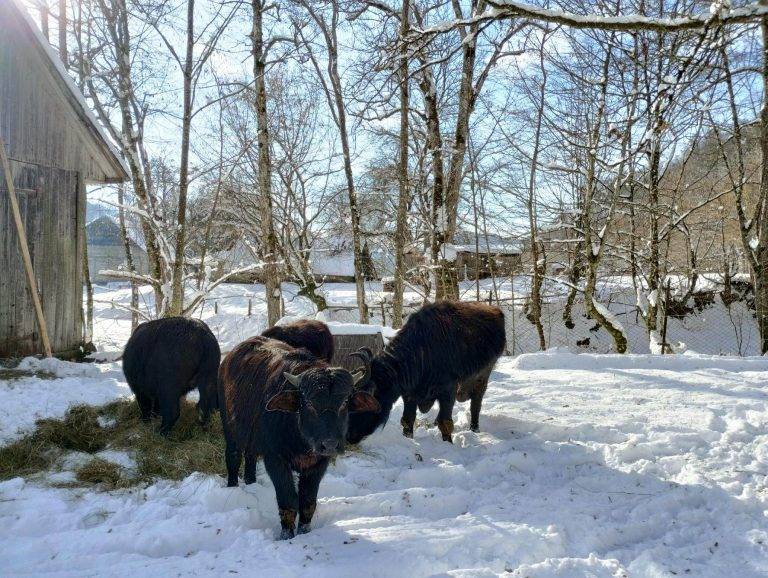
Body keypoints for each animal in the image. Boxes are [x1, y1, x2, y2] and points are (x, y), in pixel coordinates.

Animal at [218, 336, 380, 536]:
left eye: (344, 402)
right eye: (309, 403)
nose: (330, 445)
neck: (301, 440)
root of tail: (227, 360)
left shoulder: (318, 463)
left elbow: (308, 502)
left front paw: (304, 531)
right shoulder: (275, 459)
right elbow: (288, 501)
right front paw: (286, 535)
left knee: (250, 458)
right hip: (229, 429)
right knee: (233, 458)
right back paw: (232, 487)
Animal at [346, 302, 504, 440]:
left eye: (357, 404)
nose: (349, 436)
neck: (422, 352)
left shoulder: (448, 391)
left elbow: (446, 423)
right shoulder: (409, 395)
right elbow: (407, 420)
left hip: (482, 378)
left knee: (476, 404)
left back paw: (474, 428)